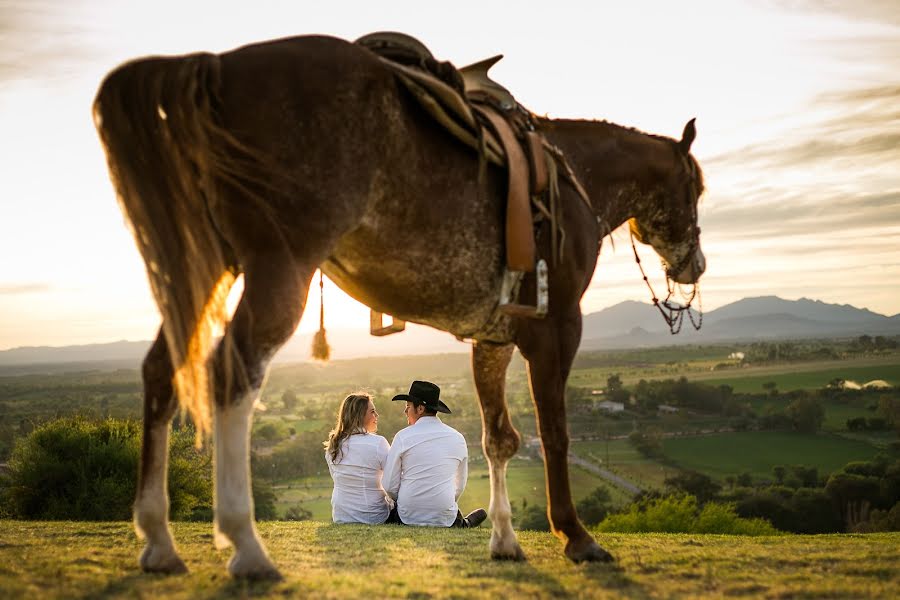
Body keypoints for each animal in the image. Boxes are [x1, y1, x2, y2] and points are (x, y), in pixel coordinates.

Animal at [95, 32, 708, 576]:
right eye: (696, 188)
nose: (695, 266)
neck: (572, 177)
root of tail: (217, 66)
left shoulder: (493, 341)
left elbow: (499, 439)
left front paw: (505, 542)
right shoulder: (557, 328)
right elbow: (554, 433)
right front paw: (577, 538)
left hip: (208, 272)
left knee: (161, 372)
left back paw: (158, 542)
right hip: (279, 268)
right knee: (231, 373)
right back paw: (246, 546)